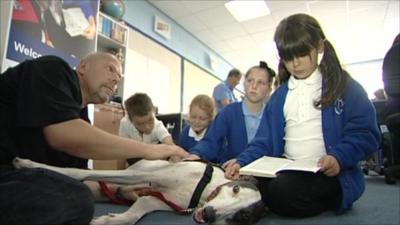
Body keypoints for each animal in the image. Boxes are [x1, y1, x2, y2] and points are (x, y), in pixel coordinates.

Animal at [12, 157, 268, 224]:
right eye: (235, 188)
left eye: (242, 216)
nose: (210, 214)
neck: (204, 189)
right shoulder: (155, 177)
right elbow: (78, 172)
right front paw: (29, 164)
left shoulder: (157, 201)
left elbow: (132, 216)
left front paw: (108, 220)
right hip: (143, 170)